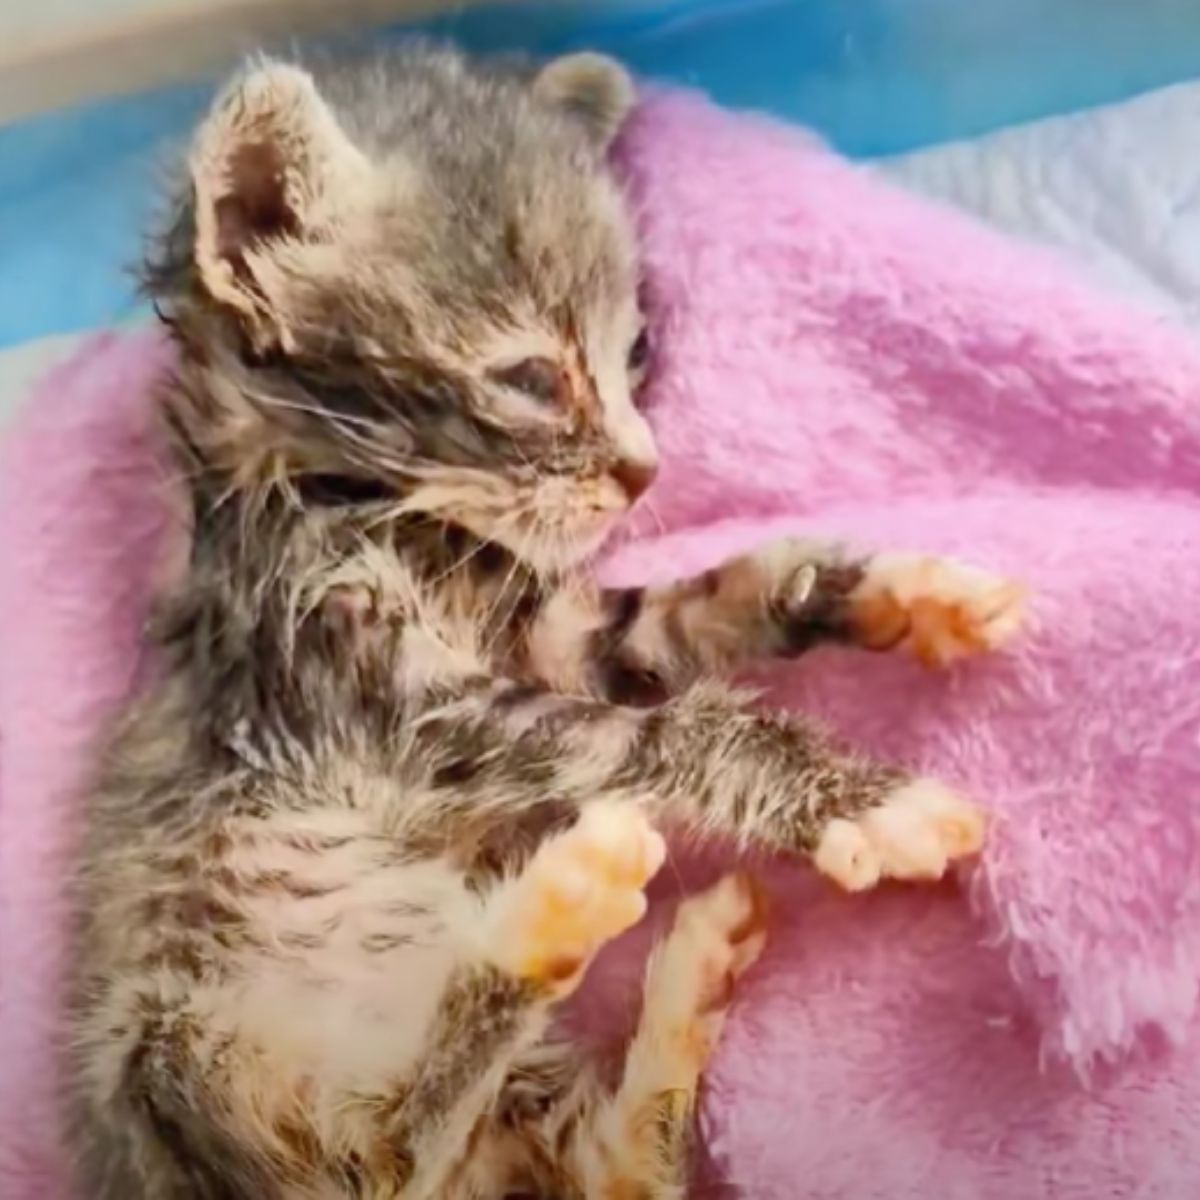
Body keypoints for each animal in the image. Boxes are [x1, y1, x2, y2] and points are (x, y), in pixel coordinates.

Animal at [68, 44, 1022, 1200]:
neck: (375, 508)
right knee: (388, 1156)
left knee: (612, 1165)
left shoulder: (555, 639)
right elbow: (659, 733)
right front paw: (862, 802)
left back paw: (685, 970)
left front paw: (883, 590)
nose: (645, 472)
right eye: (529, 378)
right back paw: (554, 913)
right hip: (181, 1066)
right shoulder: (354, 686)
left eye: (638, 350)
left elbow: (691, 612)